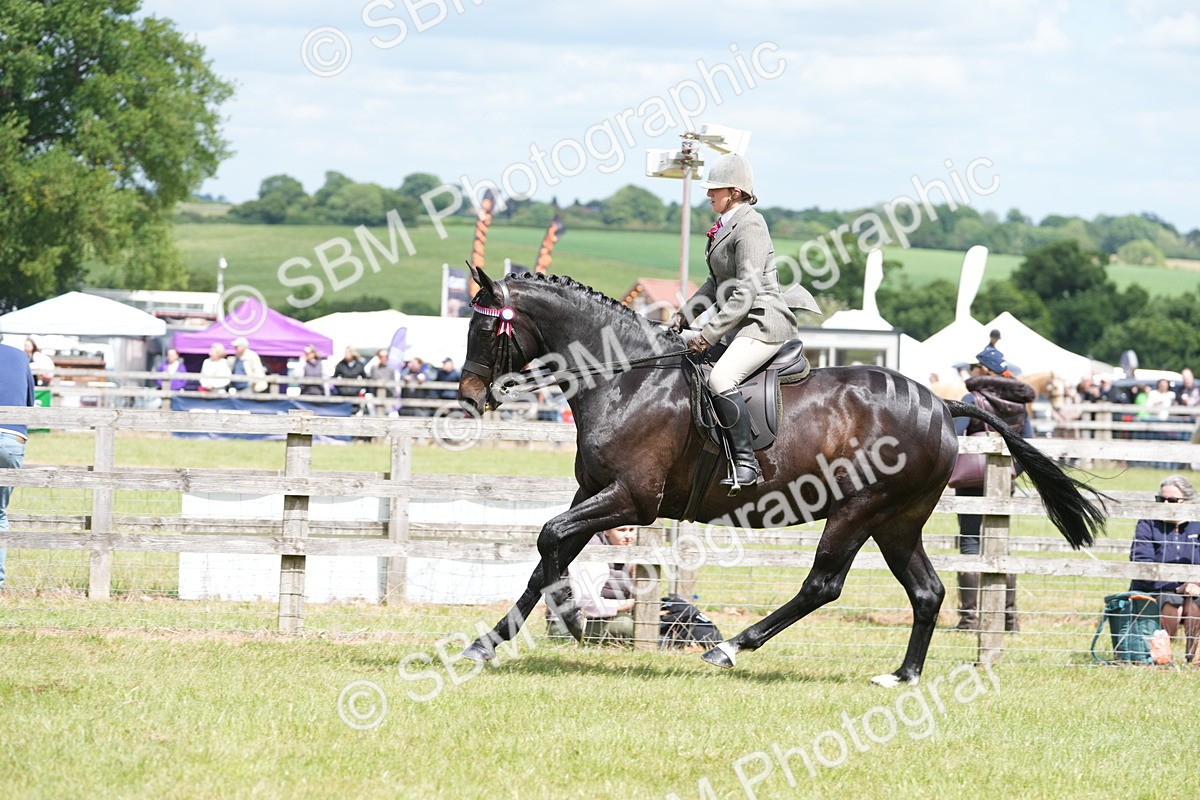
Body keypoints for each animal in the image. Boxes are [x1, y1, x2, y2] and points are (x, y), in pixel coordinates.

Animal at [456, 267, 1106, 686]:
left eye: (485, 329)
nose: (468, 397)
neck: (626, 377)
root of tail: (944, 406)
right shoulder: (594, 493)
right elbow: (549, 555)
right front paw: (483, 644)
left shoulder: (631, 500)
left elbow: (549, 538)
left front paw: (535, 628)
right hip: (898, 521)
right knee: (926, 591)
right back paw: (902, 675)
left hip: (859, 510)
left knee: (823, 585)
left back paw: (730, 649)